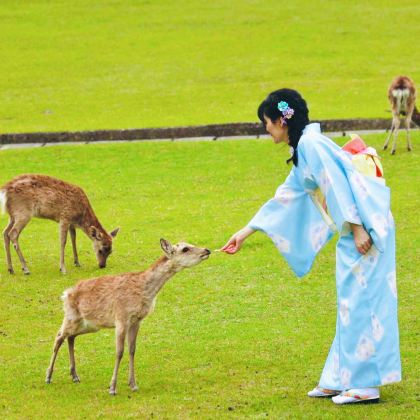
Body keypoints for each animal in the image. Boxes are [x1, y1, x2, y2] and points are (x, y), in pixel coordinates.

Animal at [46, 238, 212, 396]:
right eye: (185, 249)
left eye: (189, 243)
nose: (207, 250)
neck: (144, 292)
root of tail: (66, 293)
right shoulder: (121, 318)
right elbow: (119, 352)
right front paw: (112, 388)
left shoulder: (136, 321)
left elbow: (132, 349)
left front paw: (133, 385)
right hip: (71, 316)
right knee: (59, 336)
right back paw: (48, 376)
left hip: (90, 325)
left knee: (70, 337)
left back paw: (75, 376)